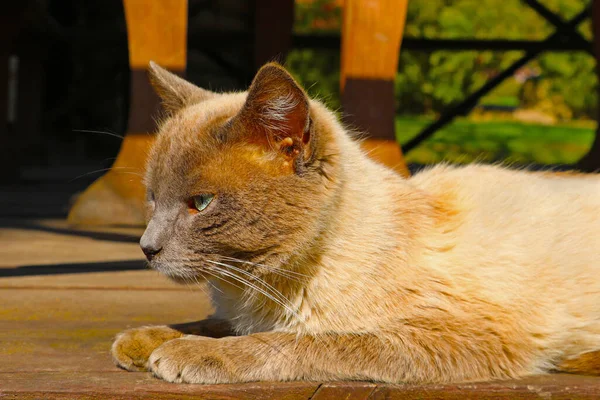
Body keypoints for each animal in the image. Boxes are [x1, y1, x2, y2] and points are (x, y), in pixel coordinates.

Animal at [111, 61, 600, 382]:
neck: (257, 290)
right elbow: (217, 324)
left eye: (201, 202)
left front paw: (184, 354)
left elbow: (305, 341)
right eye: (153, 199)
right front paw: (145, 340)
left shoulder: (456, 334)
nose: (146, 248)